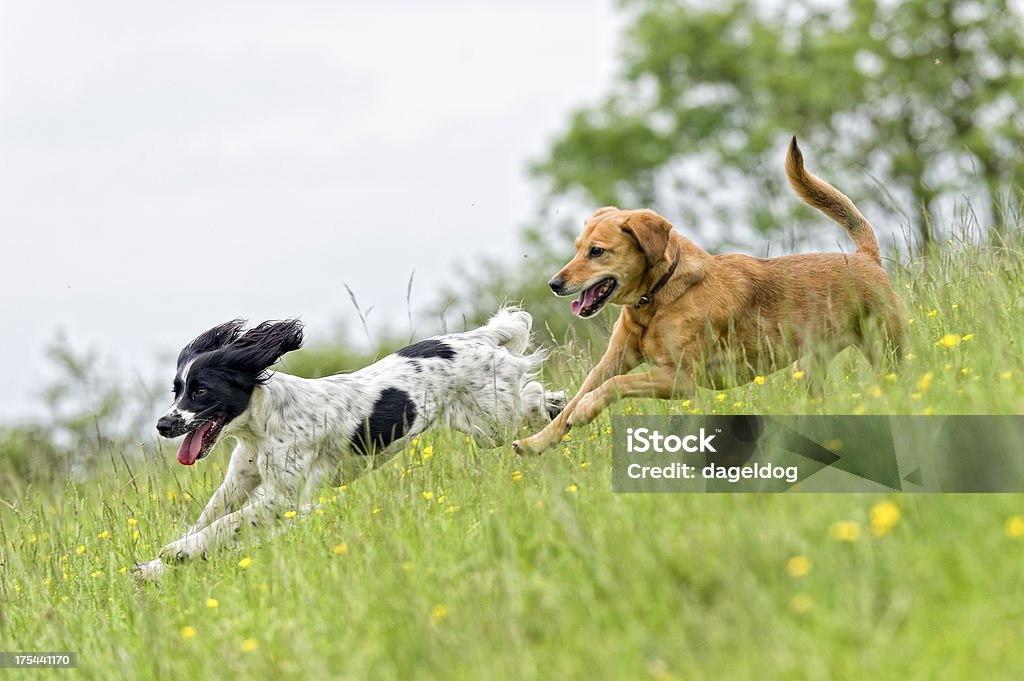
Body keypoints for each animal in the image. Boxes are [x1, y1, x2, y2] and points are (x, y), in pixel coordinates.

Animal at [135, 307, 565, 577]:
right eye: (177, 390)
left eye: (201, 391)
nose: (162, 424)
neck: (260, 426)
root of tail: (479, 337)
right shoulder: (240, 480)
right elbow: (210, 517)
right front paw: (155, 567)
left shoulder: (283, 497)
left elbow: (226, 524)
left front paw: (178, 553)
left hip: (493, 421)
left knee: (531, 395)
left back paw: (556, 411)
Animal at [516, 135, 909, 454]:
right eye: (578, 248)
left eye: (597, 251)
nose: (554, 283)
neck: (657, 299)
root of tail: (866, 257)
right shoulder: (613, 360)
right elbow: (575, 399)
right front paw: (536, 442)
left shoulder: (680, 379)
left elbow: (614, 386)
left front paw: (585, 411)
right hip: (809, 367)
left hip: (885, 349)